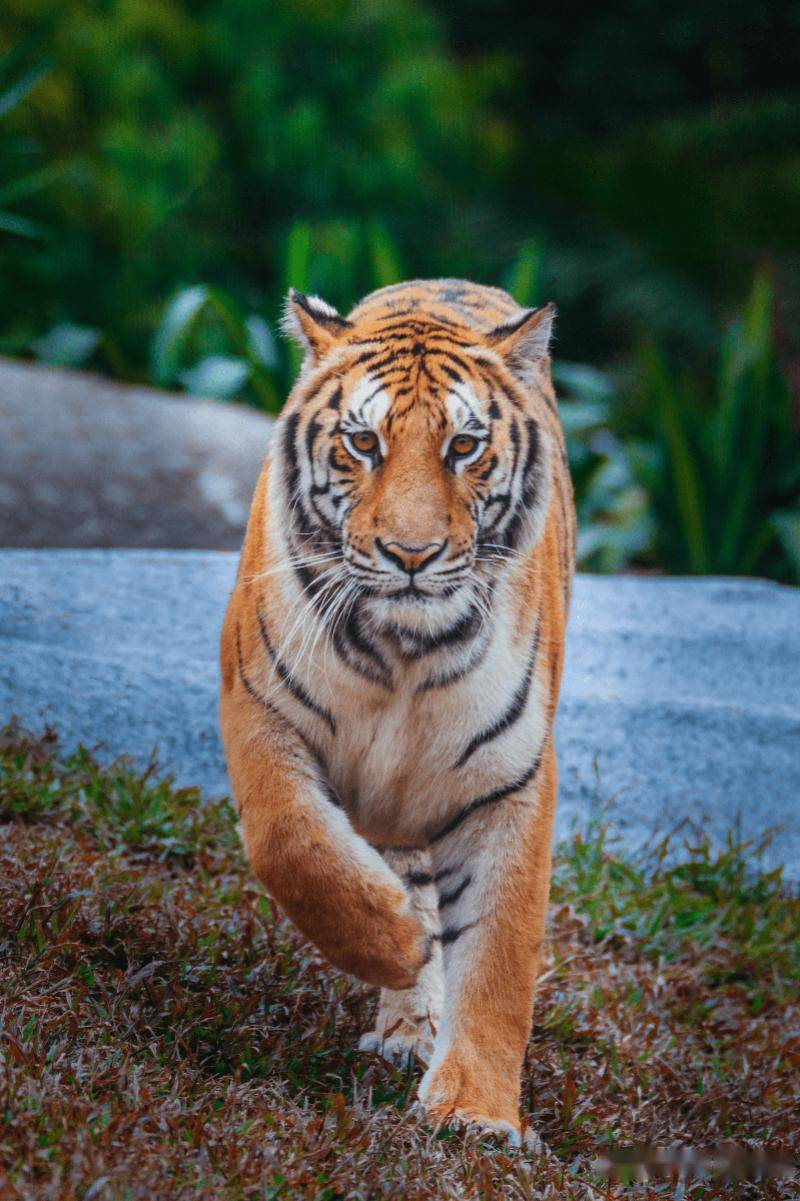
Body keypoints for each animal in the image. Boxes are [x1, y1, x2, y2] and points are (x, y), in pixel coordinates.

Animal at [219, 278, 576, 1145]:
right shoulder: (258, 708)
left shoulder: (510, 778)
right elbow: (293, 844)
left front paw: (476, 1112)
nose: (412, 556)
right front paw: (392, 944)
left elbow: (500, 950)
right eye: (363, 442)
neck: (402, 650)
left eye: (464, 447)